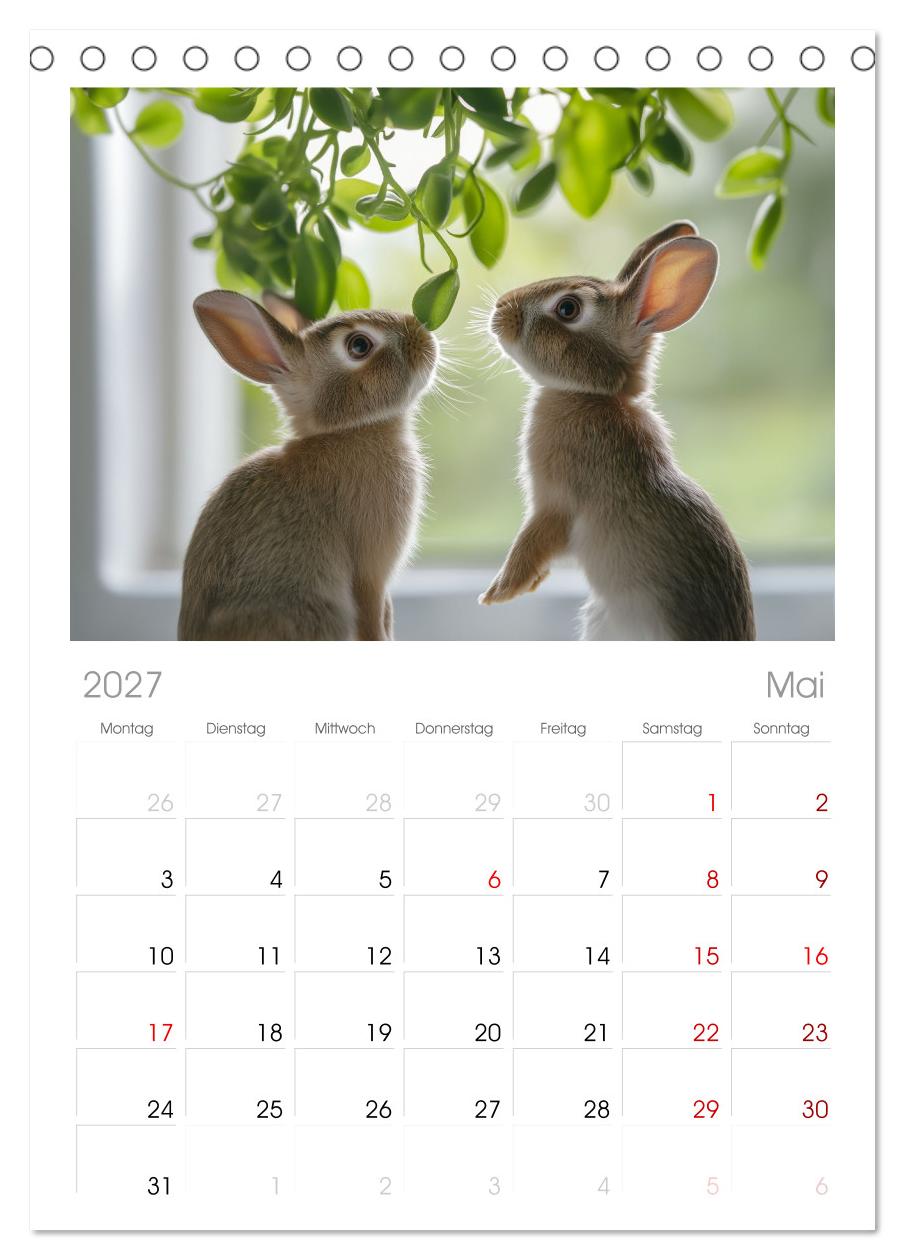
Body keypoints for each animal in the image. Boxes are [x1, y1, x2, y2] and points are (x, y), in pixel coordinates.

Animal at [178, 290, 437, 641]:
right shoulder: (370, 570)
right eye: (359, 346)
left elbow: (386, 613)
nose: (425, 335)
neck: (346, 431)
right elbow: (372, 617)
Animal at [479, 221, 755, 641]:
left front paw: (500, 593)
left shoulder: (555, 502)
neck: (593, 395)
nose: (501, 308)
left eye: (568, 308)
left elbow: (532, 541)